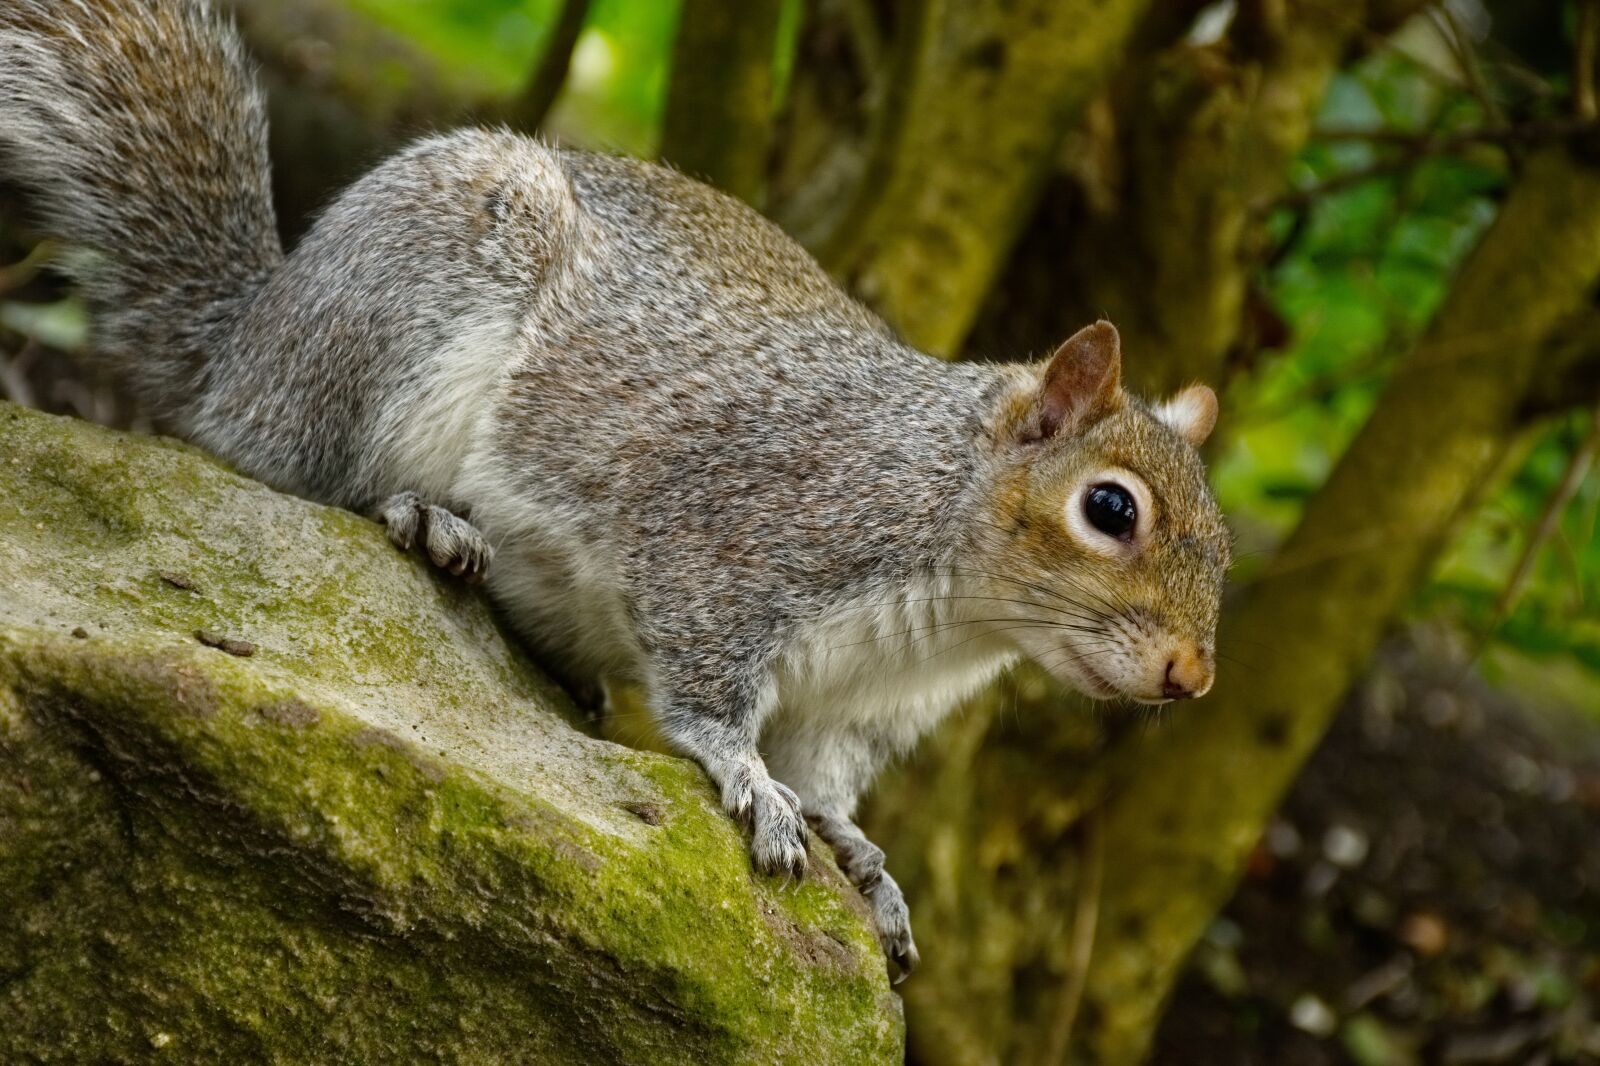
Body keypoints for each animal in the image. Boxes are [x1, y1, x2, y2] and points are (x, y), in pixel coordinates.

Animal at [0, 0, 1230, 979]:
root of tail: (249, 350)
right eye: (1109, 509)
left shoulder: (854, 712)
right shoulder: (732, 539)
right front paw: (751, 784)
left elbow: (831, 783)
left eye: (1221, 543)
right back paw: (420, 516)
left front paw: (859, 854)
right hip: (405, 322)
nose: (1193, 675)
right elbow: (707, 694)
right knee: (306, 472)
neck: (957, 593)